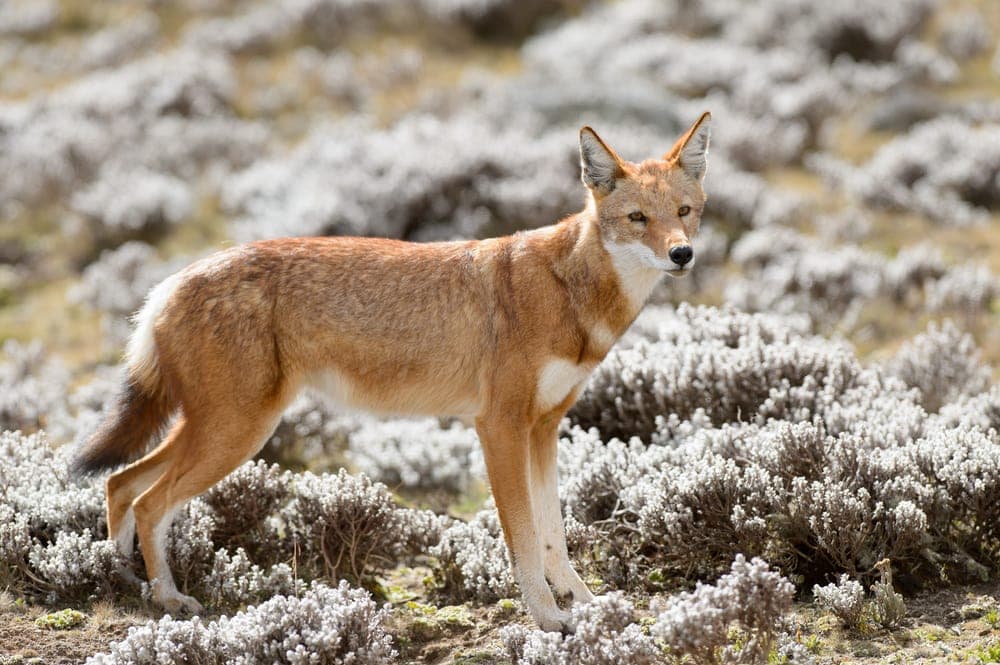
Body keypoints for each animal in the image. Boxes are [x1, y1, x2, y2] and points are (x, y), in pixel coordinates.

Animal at [71, 112, 711, 633]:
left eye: (684, 213)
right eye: (637, 218)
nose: (682, 254)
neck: (568, 291)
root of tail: (169, 284)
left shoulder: (544, 429)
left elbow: (554, 533)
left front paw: (587, 603)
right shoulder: (500, 428)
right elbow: (524, 540)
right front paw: (549, 618)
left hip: (218, 433)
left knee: (119, 483)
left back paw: (120, 585)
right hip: (235, 435)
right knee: (147, 499)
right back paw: (168, 601)